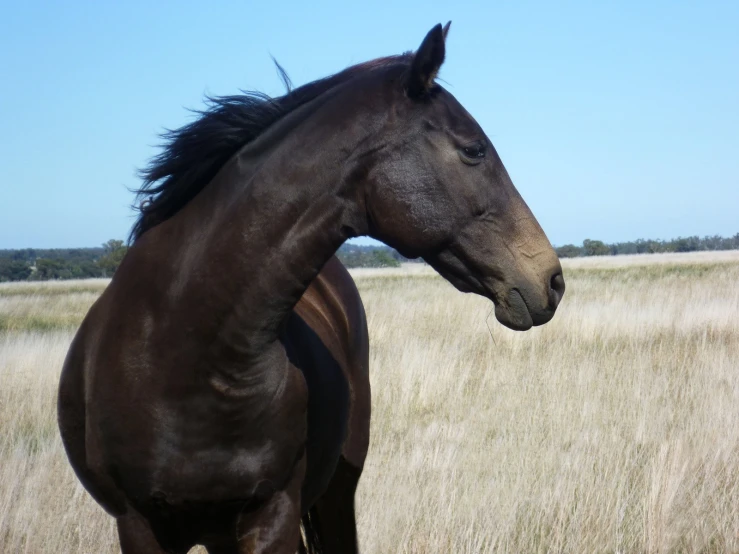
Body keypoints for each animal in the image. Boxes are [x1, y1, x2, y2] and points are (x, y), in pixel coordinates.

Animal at [57, 22, 568, 552]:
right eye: (473, 150)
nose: (551, 279)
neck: (184, 352)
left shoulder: (273, 517)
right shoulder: (139, 525)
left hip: (336, 490)